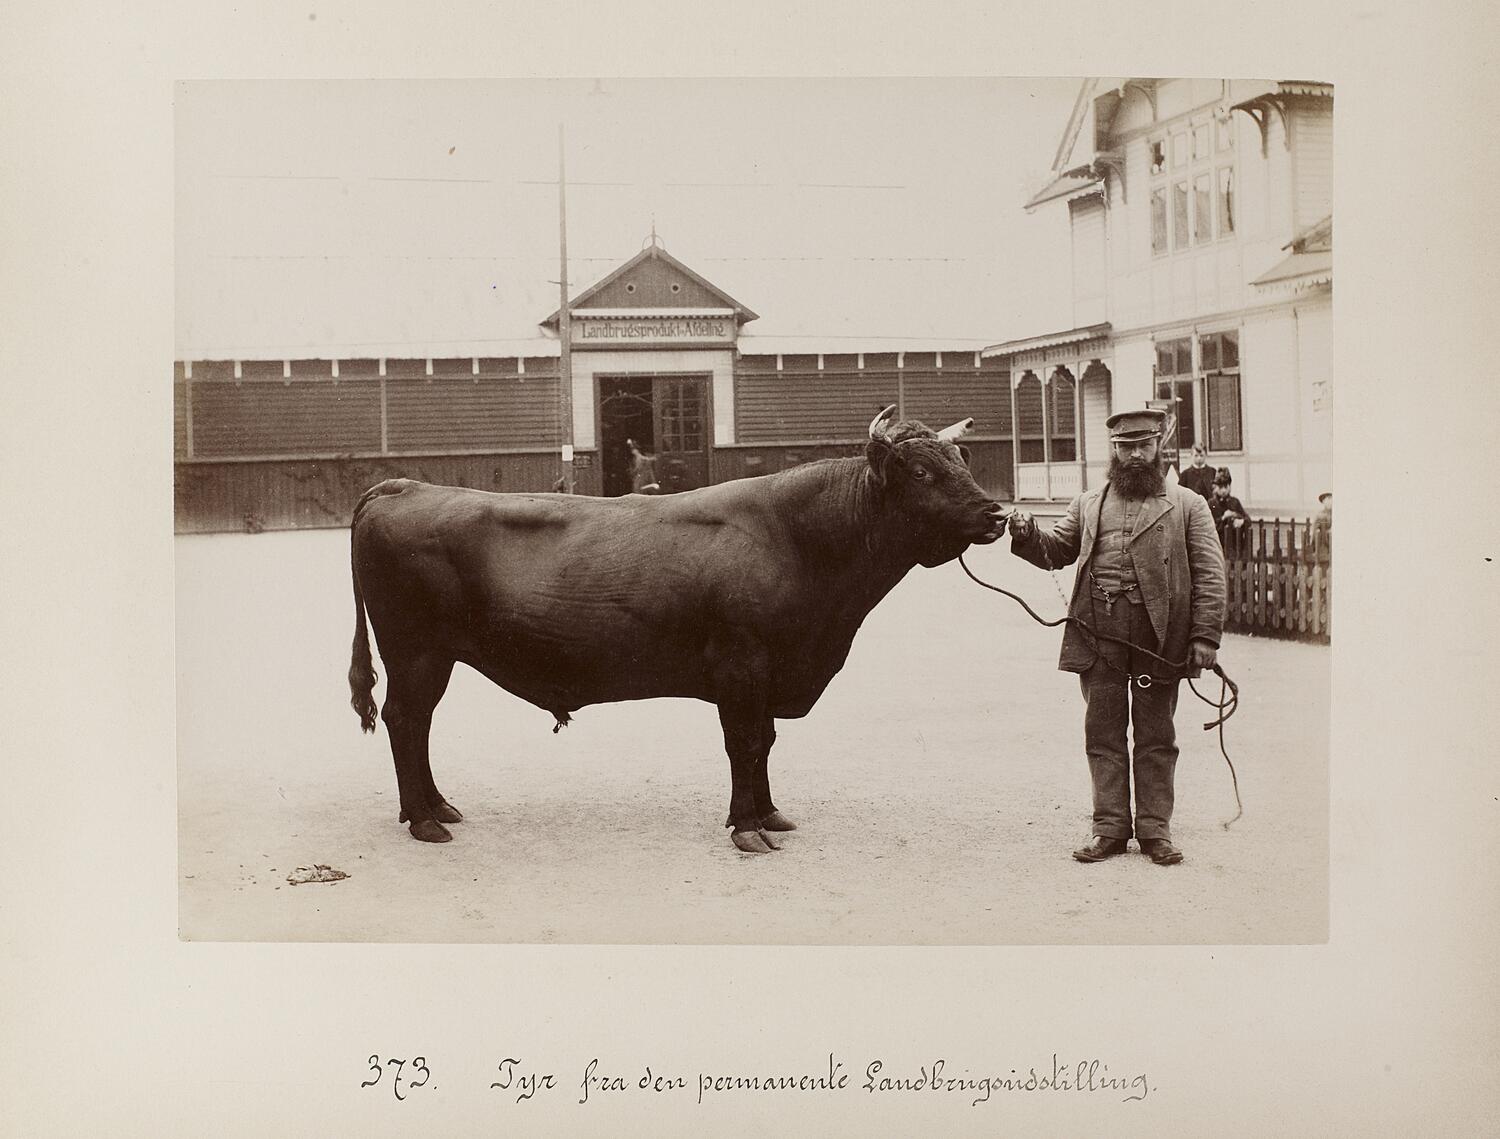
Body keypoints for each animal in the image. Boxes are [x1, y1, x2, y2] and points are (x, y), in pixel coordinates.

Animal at [348, 405, 1007, 853]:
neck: (798, 539)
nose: (997, 514)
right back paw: (424, 819)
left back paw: (438, 807)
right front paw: (747, 828)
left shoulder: (768, 675)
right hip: (417, 652)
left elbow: (766, 741)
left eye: (962, 462)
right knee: (407, 720)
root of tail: (404, 484)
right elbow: (745, 742)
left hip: (429, 656)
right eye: (919, 471)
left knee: (417, 724)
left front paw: (770, 813)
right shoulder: (743, 665)